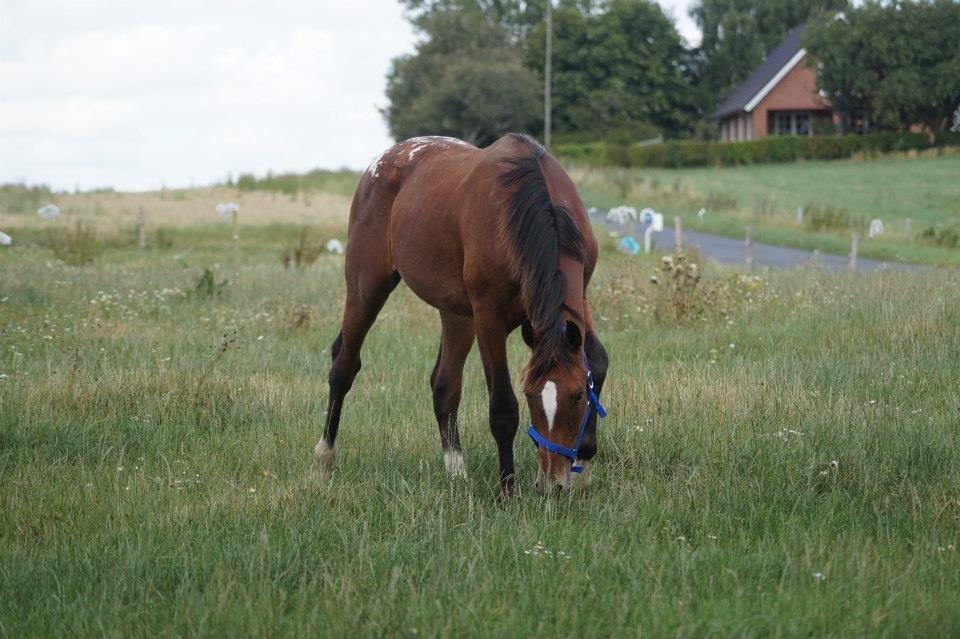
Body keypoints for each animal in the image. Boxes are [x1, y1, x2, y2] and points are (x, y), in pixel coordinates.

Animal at [318, 134, 612, 496]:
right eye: (530, 396)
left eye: (577, 397)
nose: (552, 484)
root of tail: (385, 160)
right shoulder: (489, 319)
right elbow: (503, 408)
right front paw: (508, 491)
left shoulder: (579, 297)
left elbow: (597, 361)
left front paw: (583, 462)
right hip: (367, 288)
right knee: (343, 367)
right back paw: (324, 458)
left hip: (456, 314)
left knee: (444, 385)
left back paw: (456, 470)